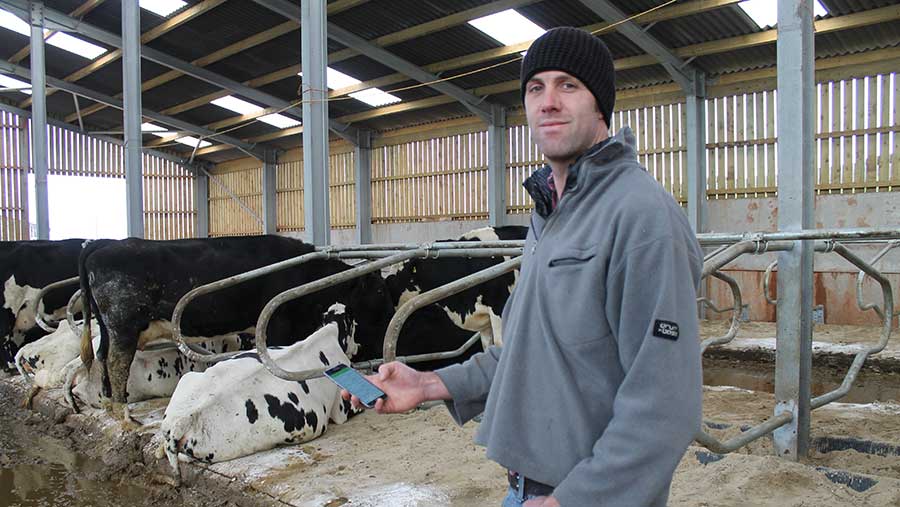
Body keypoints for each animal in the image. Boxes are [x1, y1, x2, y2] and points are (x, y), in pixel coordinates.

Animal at [79, 235, 396, 404]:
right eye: (380, 290)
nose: (393, 311)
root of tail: (103, 244)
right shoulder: (277, 325)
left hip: (110, 329)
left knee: (102, 356)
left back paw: (110, 401)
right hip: (123, 326)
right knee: (117, 362)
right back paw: (123, 408)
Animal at [160, 302, 360, 476]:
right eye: (355, 326)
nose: (358, 347)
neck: (327, 336)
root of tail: (181, 420)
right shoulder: (341, 408)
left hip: (187, 378)